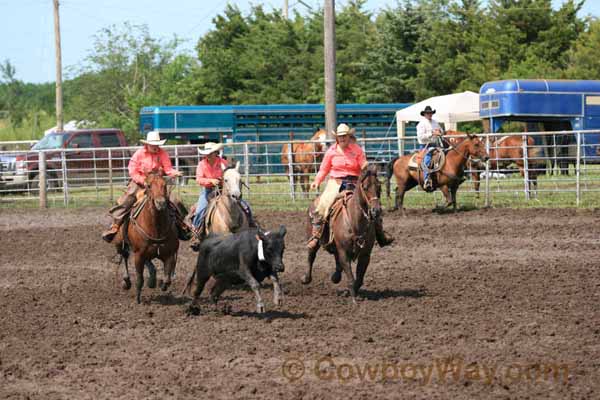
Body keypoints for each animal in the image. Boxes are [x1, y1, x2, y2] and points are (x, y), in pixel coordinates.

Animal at [113, 172, 180, 304]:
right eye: (148, 186)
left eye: (164, 185)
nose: (160, 203)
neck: (156, 229)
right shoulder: (138, 255)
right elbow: (139, 279)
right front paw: (138, 300)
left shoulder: (169, 254)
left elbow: (167, 279)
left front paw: (160, 284)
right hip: (120, 244)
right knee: (124, 256)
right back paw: (126, 281)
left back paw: (152, 280)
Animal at [302, 164, 382, 304]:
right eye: (365, 187)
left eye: (379, 187)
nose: (376, 211)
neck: (355, 222)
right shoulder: (344, 252)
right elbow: (350, 277)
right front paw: (354, 299)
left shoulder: (365, 255)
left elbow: (359, 279)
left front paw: (350, 293)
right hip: (312, 237)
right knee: (311, 255)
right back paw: (306, 278)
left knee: (336, 259)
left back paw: (336, 277)